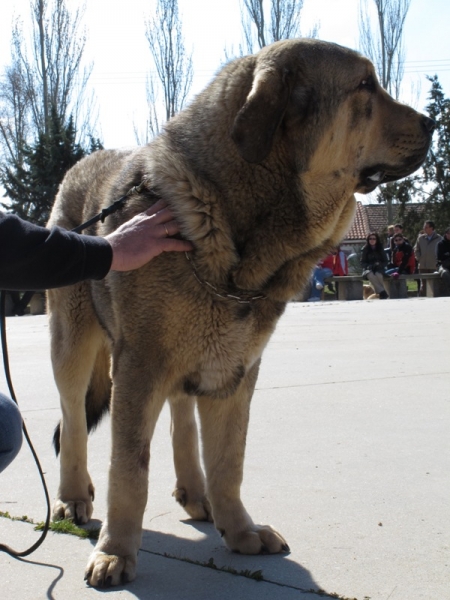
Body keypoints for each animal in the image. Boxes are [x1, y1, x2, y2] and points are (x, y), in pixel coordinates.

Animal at [47, 41, 434, 584]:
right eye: (364, 86)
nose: (432, 122)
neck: (229, 217)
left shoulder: (234, 370)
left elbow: (229, 461)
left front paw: (241, 530)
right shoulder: (139, 366)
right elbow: (129, 470)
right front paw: (116, 552)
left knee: (181, 416)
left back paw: (195, 492)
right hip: (73, 347)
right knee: (74, 421)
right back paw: (73, 499)